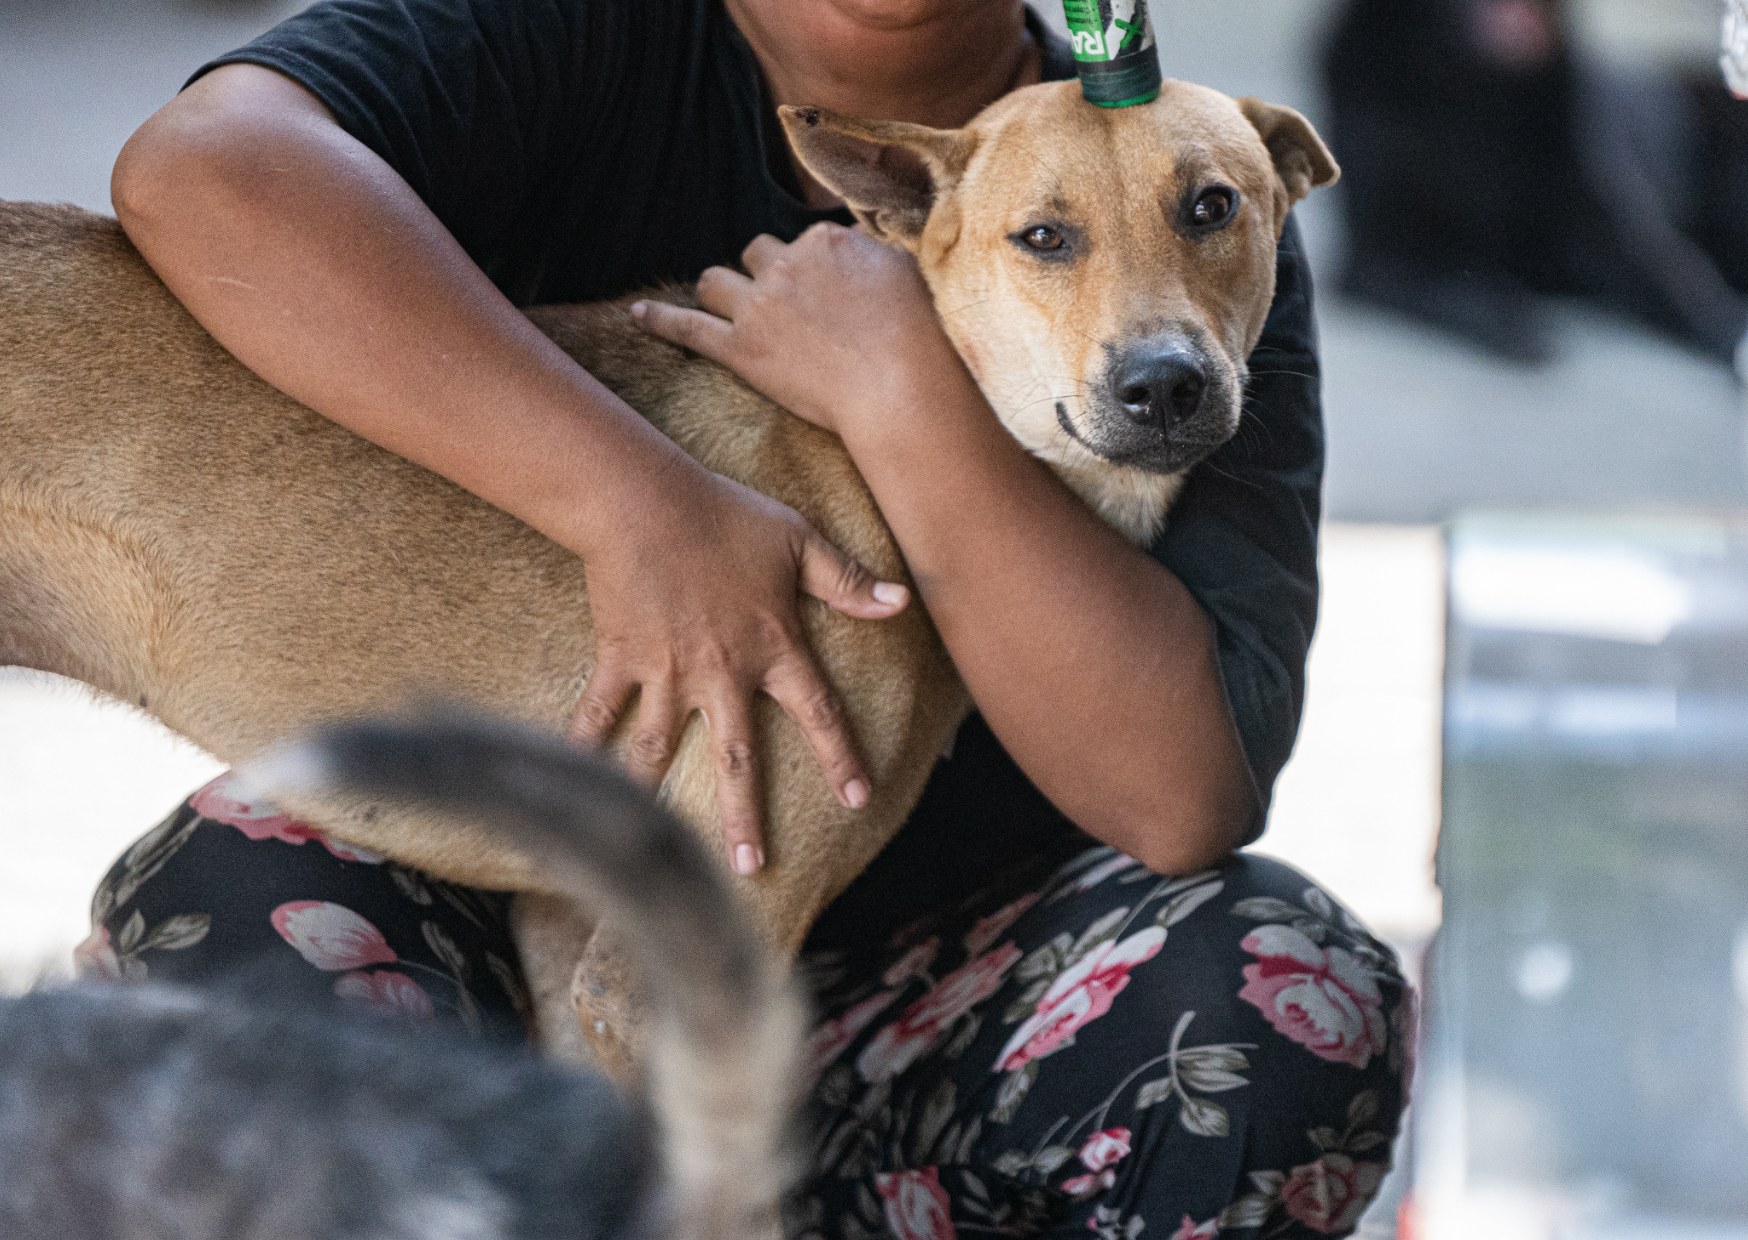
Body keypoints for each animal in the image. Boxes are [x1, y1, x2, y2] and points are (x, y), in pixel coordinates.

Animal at [0, 77, 1328, 1070]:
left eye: (1211, 206)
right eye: (1042, 237)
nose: (1164, 387)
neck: (885, 455)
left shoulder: (575, 933)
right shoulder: (679, 967)